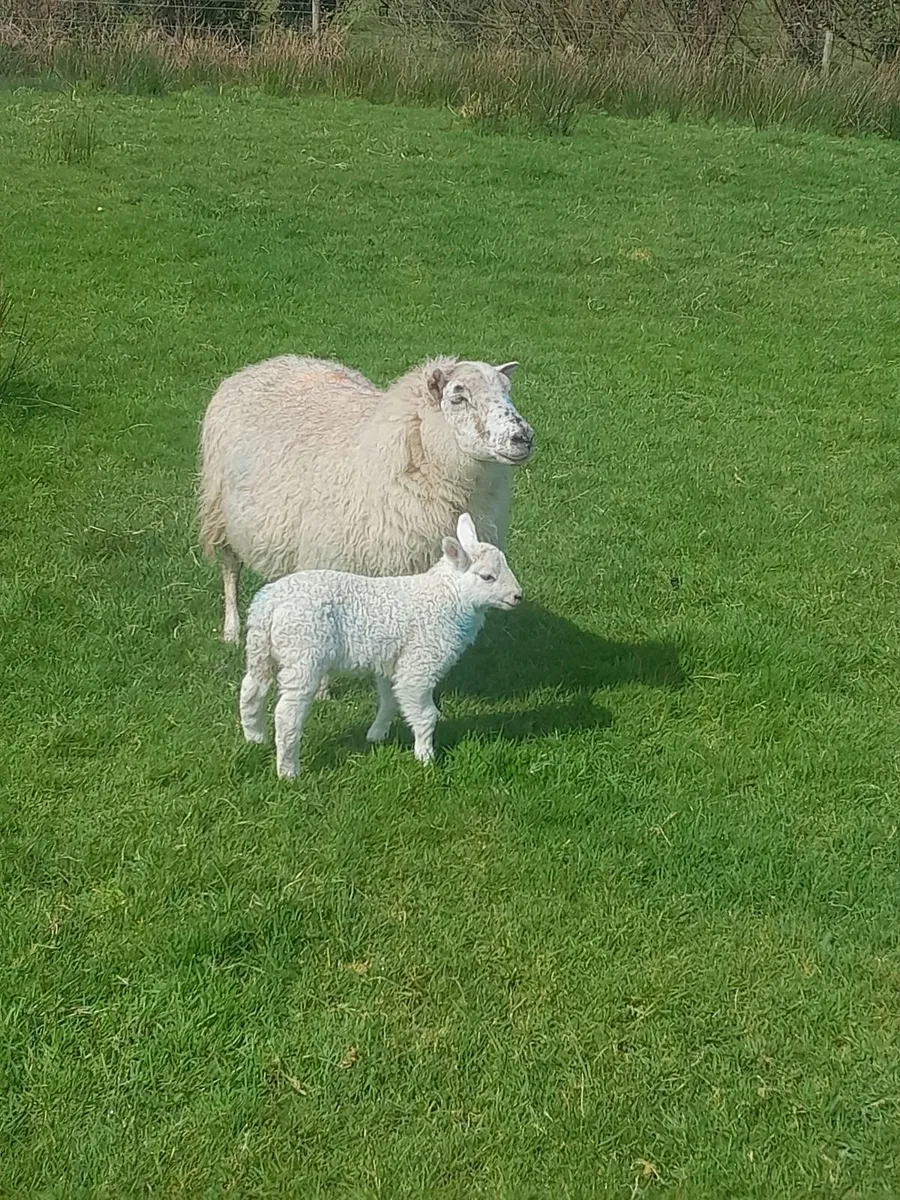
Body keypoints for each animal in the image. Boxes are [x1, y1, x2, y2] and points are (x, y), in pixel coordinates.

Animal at [198, 354, 534, 646]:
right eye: (458, 397)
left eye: (507, 391)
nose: (524, 437)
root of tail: (265, 363)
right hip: (220, 512)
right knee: (230, 570)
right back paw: (232, 630)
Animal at [239, 513, 523, 777]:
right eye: (487, 577)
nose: (518, 596)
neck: (446, 598)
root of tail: (269, 604)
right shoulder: (420, 662)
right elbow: (425, 714)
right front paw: (426, 758)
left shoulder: (391, 660)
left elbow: (390, 699)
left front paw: (377, 734)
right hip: (303, 651)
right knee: (287, 713)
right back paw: (288, 770)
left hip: (261, 647)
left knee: (252, 687)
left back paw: (254, 737)